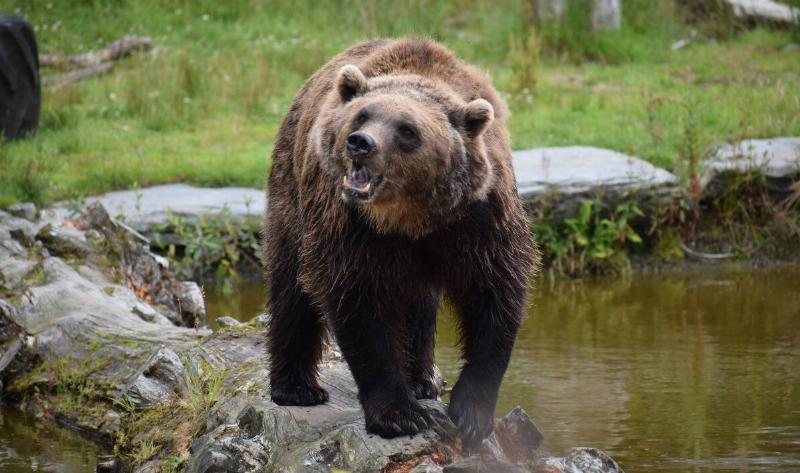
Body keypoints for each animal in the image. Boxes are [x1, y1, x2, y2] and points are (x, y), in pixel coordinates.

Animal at [263, 38, 538, 446]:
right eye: (362, 116)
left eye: (407, 130)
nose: (360, 143)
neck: (411, 217)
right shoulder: (351, 227)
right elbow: (360, 307)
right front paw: (400, 415)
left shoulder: (480, 220)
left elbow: (494, 294)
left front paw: (471, 414)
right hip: (292, 194)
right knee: (292, 287)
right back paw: (297, 388)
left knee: (420, 305)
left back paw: (423, 380)